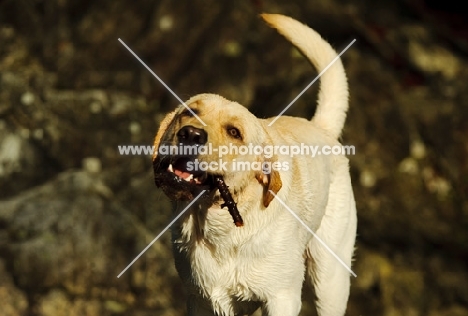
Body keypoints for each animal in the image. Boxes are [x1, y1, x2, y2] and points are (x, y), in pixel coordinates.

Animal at [152, 13, 356, 314]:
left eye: (234, 132)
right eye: (189, 112)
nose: (190, 134)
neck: (221, 230)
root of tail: (321, 127)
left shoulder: (282, 298)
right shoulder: (200, 299)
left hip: (330, 281)